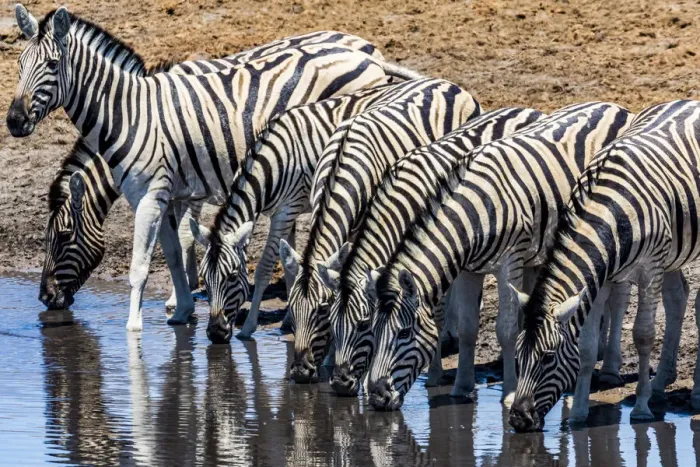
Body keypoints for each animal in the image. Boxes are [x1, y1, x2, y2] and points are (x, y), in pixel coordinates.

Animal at [187, 82, 402, 343]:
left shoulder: (285, 212)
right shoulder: (289, 212)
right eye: (204, 279)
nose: (216, 334)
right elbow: (289, 268)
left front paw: (248, 327)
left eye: (232, 276)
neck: (270, 165)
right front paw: (290, 319)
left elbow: (265, 267)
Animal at [278, 78, 481, 383]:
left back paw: (449, 333)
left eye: (322, 309)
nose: (301, 372)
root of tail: (446, 82)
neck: (340, 172)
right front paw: (331, 359)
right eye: (291, 308)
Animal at [314, 107, 546, 396]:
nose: (340, 383)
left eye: (364, 324)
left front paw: (433, 374)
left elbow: (432, 314)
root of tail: (528, 109)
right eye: (332, 323)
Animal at [364, 102, 635, 411]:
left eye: (404, 333)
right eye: (372, 330)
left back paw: (610, 366)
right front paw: (462, 387)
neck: (474, 213)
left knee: (618, 295)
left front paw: (509, 391)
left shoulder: (510, 260)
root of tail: (614, 106)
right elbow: (469, 328)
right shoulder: (469, 269)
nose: (377, 397)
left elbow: (505, 330)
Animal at [508, 100, 700, 432]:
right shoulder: (601, 277)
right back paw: (660, 385)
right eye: (518, 357)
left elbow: (643, 335)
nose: (519, 419)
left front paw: (641, 409)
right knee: (678, 298)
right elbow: (586, 346)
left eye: (547, 358)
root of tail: (689, 101)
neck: (611, 210)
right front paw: (578, 413)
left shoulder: (650, 269)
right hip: (674, 252)